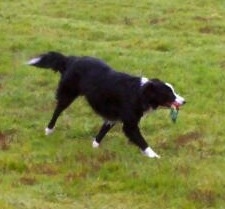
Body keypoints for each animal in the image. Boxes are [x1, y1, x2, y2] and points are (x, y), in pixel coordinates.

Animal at [27, 51, 185, 158]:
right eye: (169, 93)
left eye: (173, 91)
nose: (184, 101)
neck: (140, 93)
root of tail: (71, 59)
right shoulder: (129, 124)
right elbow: (142, 142)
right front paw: (155, 157)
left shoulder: (113, 117)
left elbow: (102, 132)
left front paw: (94, 147)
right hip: (67, 95)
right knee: (57, 111)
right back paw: (49, 130)